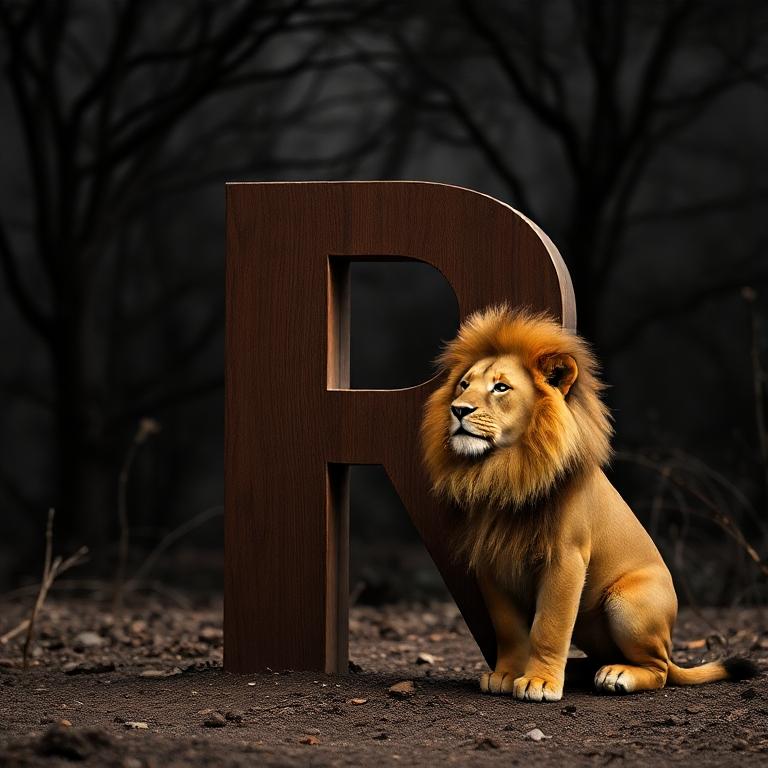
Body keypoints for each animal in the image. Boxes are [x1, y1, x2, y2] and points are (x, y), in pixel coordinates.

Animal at [421, 304, 758, 701]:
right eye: (463, 384)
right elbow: (508, 628)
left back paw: (616, 675)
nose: (458, 410)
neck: (506, 470)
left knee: (660, 670)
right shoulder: (491, 561)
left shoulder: (566, 557)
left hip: (627, 603)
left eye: (500, 387)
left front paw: (539, 681)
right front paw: (506, 674)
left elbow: (548, 627)